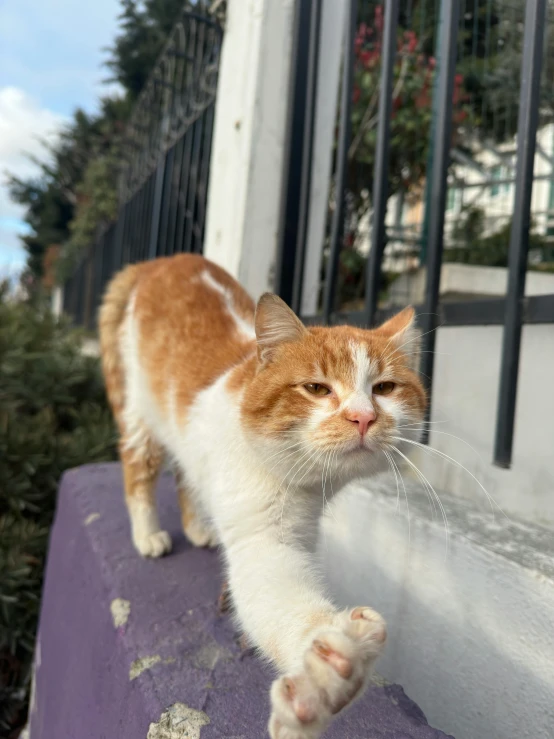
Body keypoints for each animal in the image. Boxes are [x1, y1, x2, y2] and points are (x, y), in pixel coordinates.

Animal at [98, 254, 422, 739]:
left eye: (384, 388)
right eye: (317, 388)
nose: (363, 417)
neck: (304, 482)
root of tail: (159, 260)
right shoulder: (261, 539)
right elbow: (281, 601)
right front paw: (327, 678)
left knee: (185, 474)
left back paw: (198, 527)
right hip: (140, 415)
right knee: (139, 469)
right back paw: (148, 533)